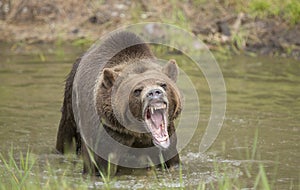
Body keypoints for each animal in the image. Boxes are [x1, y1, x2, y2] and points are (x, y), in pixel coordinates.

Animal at [55, 30, 183, 175]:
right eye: (137, 90)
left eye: (163, 84)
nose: (154, 92)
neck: (138, 133)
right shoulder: (108, 133)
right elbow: (100, 165)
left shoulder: (166, 138)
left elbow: (171, 160)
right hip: (71, 101)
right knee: (66, 135)